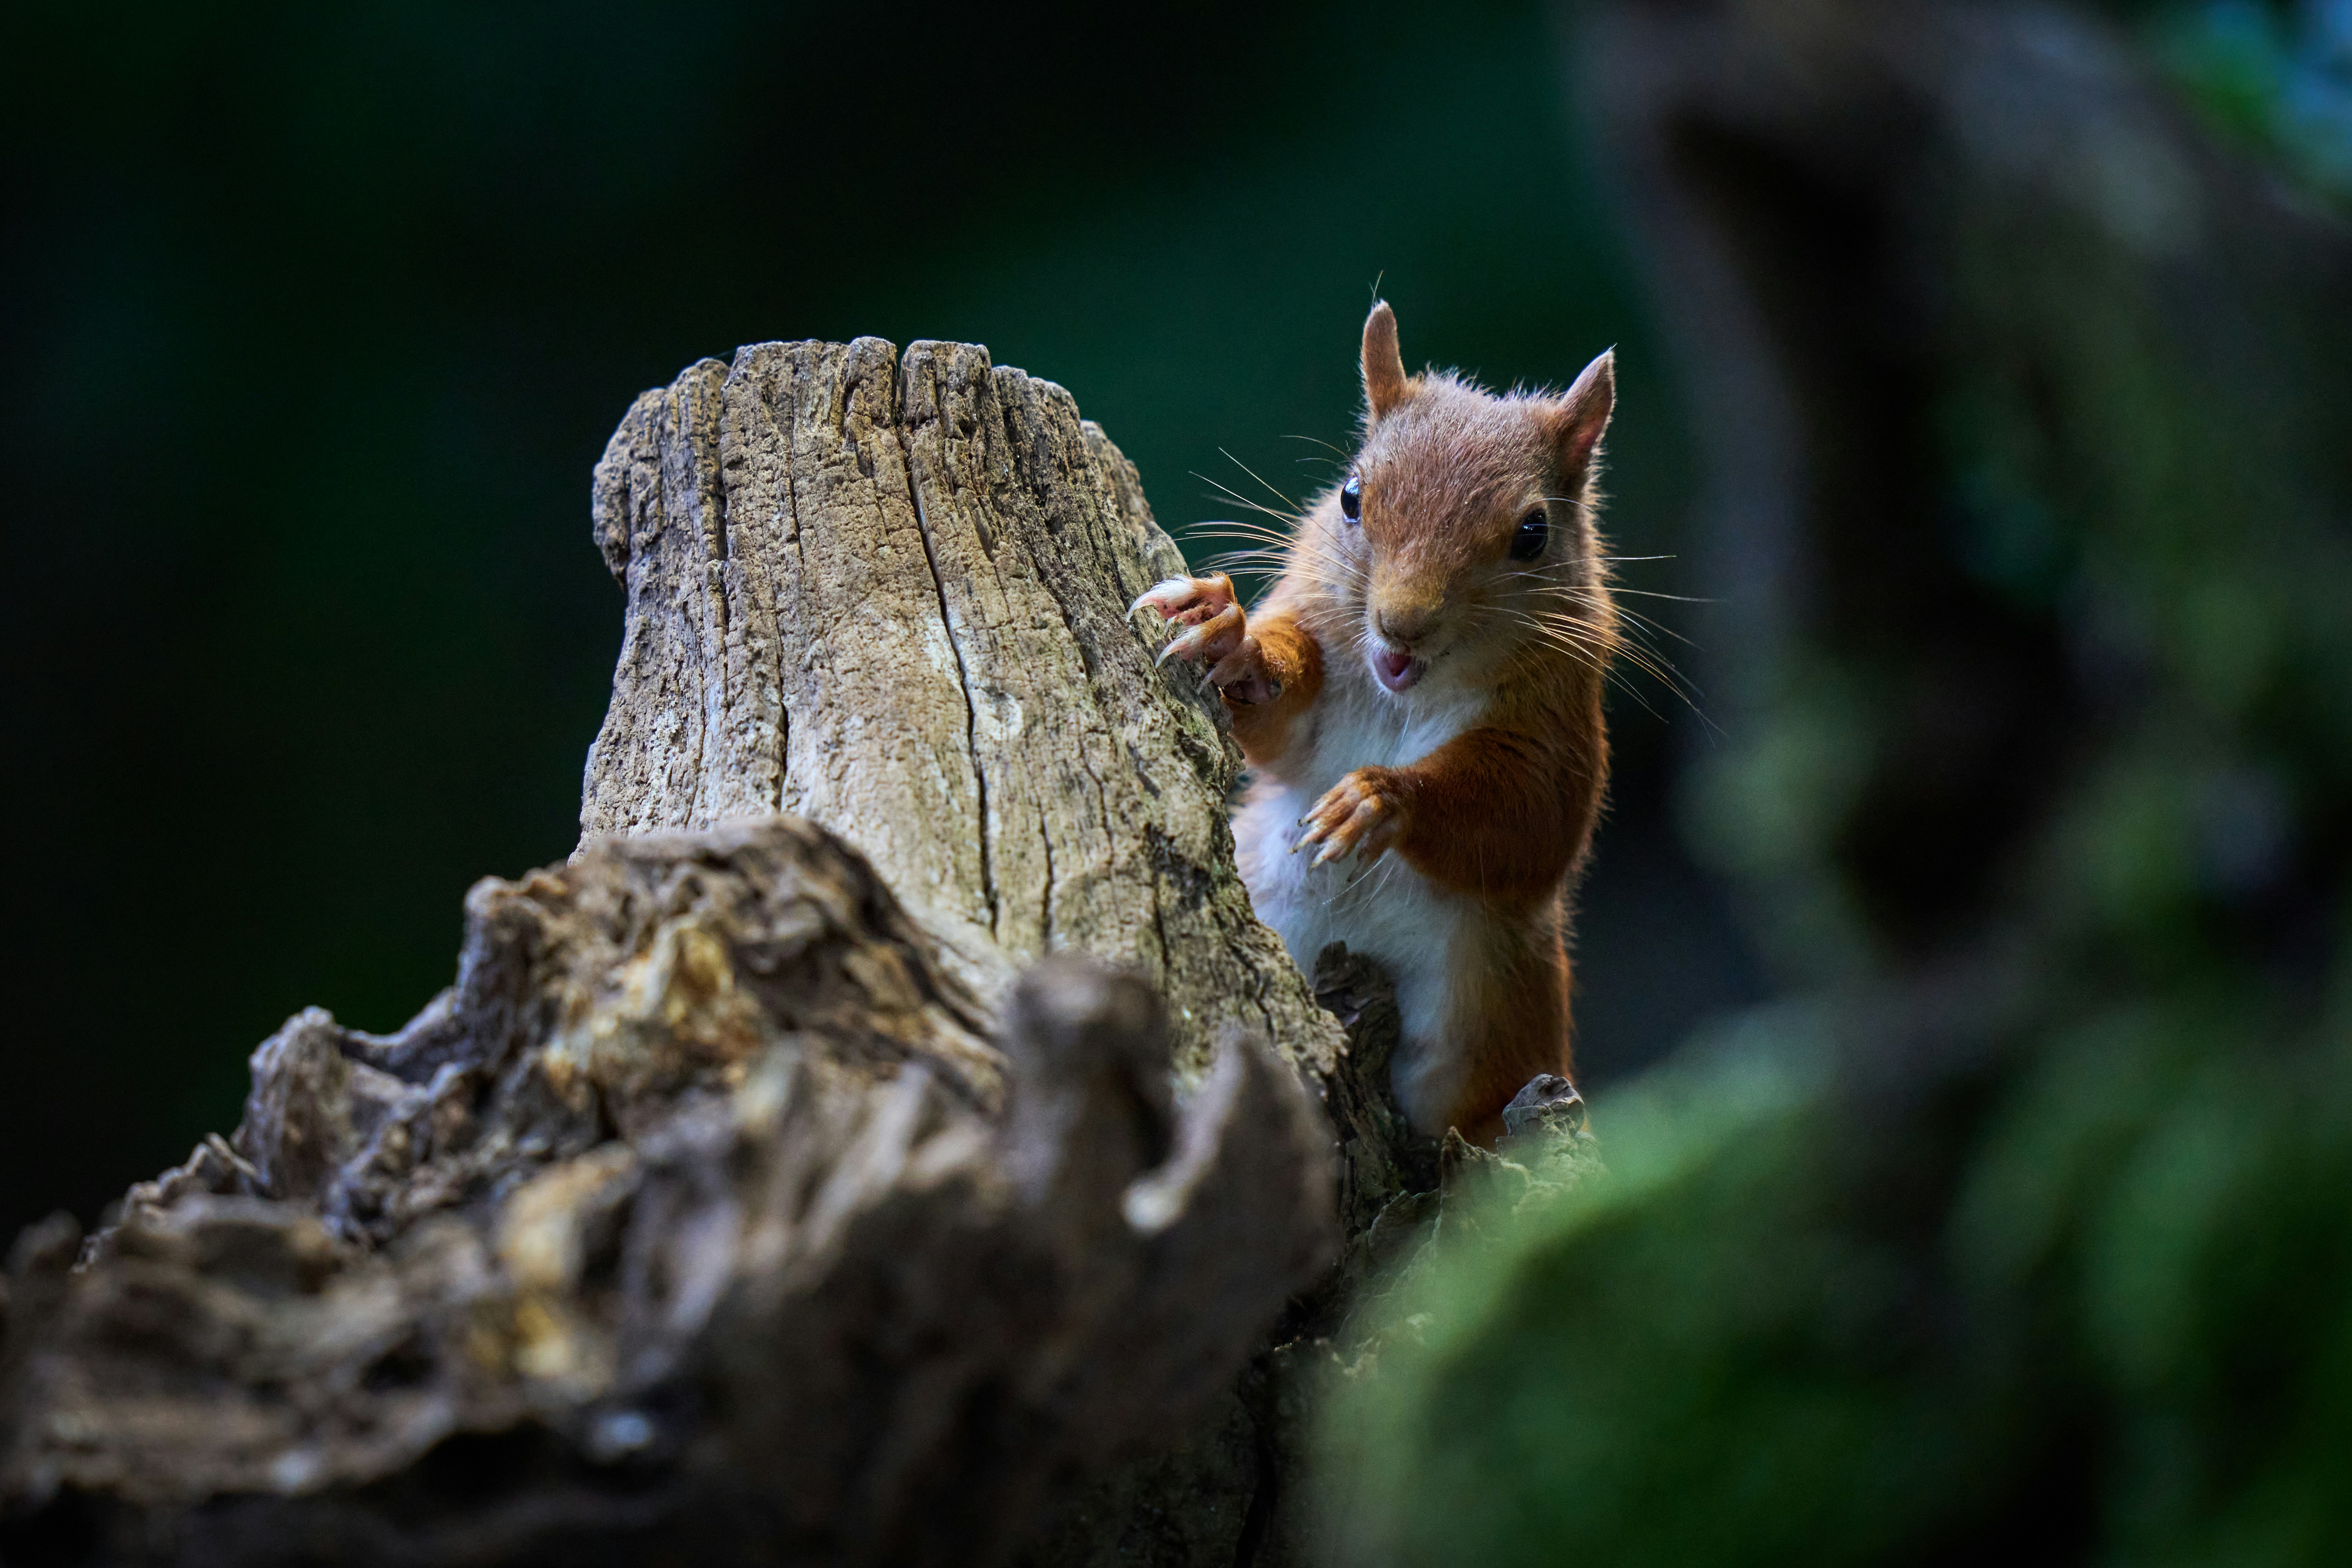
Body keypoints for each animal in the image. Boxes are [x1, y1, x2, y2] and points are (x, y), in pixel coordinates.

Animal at [1135, 300, 1618, 1145]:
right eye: (1351, 496)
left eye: (1533, 533)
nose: (1401, 625)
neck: (1403, 699)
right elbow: (1279, 738)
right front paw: (1226, 632)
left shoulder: (1558, 730)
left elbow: (1533, 825)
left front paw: (1378, 799)